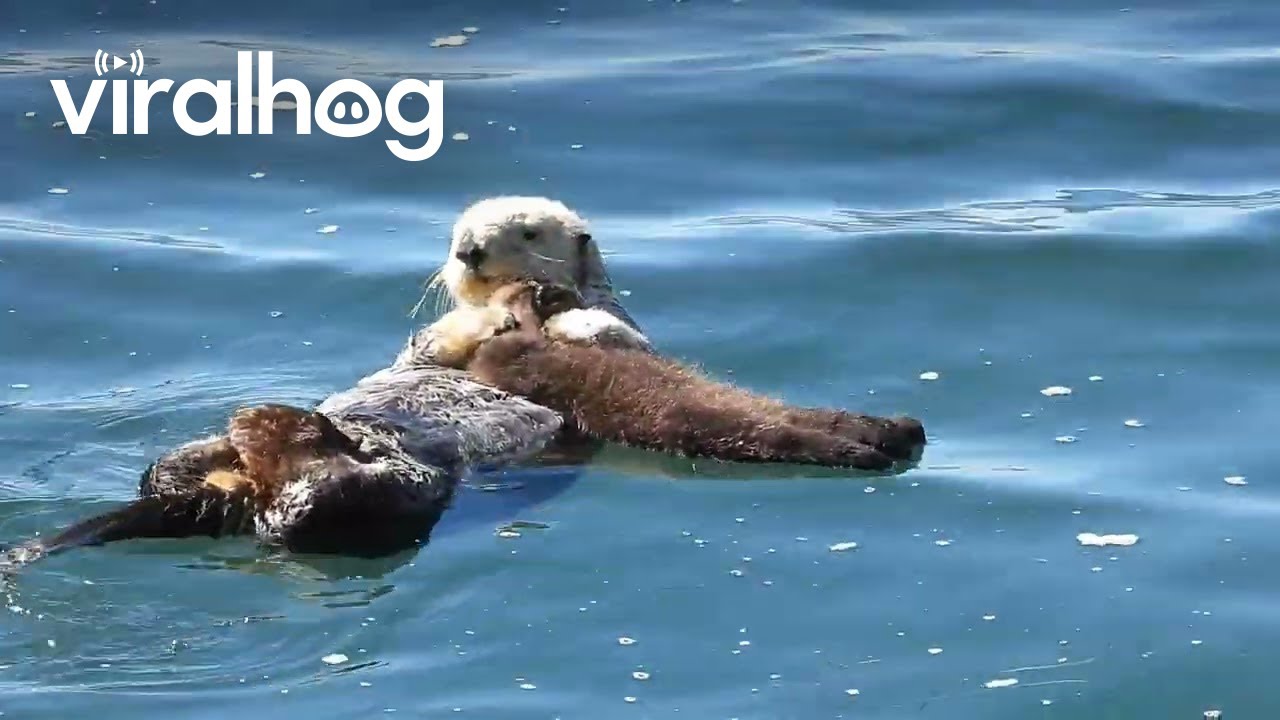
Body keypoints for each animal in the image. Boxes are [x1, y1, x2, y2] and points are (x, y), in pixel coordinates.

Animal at [441, 281, 925, 471]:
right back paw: (876, 451)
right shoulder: (511, 357)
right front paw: (529, 302)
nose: (548, 288)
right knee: (794, 437)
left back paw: (901, 429)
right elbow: (513, 333)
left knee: (822, 418)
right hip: (713, 424)